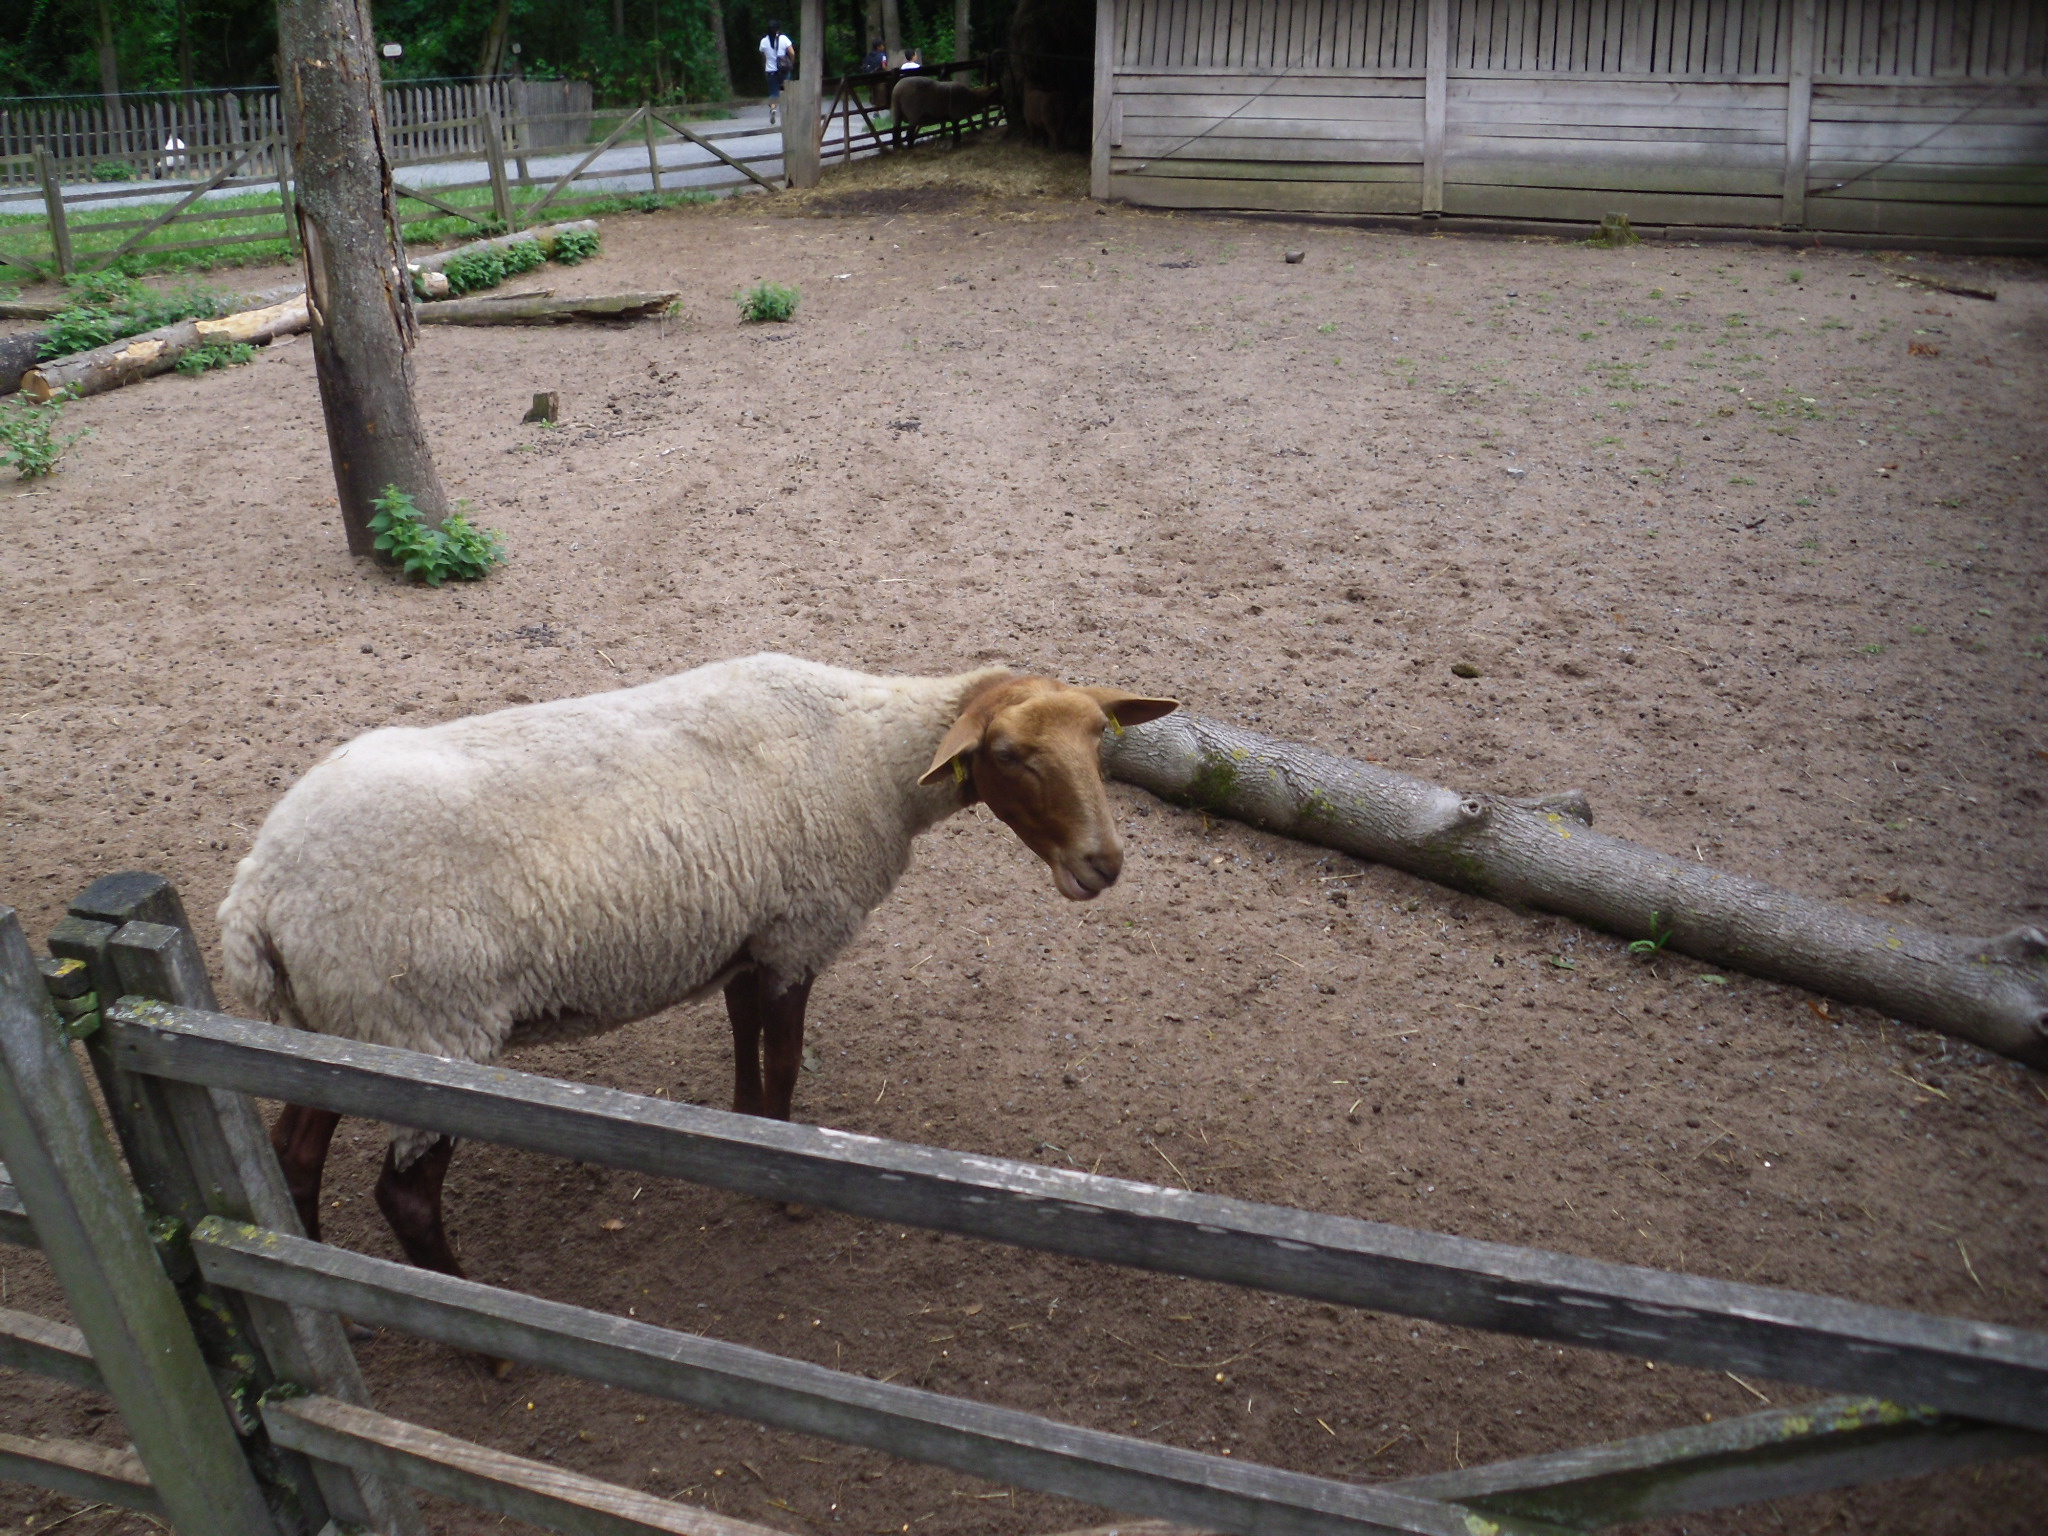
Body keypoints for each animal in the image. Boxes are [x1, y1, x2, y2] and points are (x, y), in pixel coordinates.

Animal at [220, 653, 1176, 1278]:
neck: (868, 759)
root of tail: (260, 894)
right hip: (431, 1032)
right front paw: (790, 1191)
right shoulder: (799, 932)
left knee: (292, 1155)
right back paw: (470, 1328)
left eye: (1102, 743)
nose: (1102, 866)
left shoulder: (752, 936)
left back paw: (310, 1270)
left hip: (341, 1029)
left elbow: (746, 1041)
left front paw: (746, 1136)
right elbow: (785, 1063)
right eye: (1012, 756)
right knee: (406, 1198)